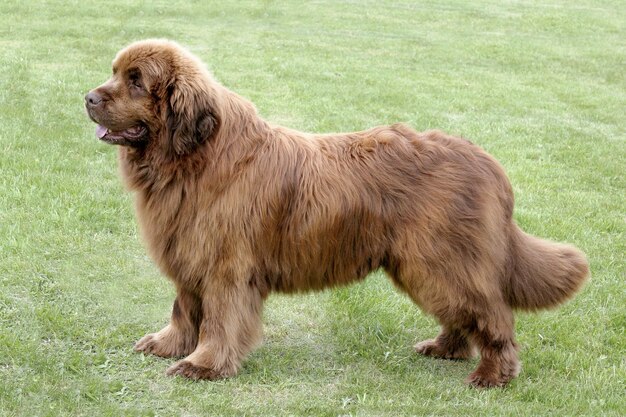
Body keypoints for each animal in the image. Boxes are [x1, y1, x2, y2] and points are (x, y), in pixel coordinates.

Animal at [85, 39, 588, 386]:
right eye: (115, 73)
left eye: (136, 80)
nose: (88, 97)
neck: (194, 159)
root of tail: (489, 164)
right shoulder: (190, 256)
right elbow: (184, 310)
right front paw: (168, 346)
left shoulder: (226, 266)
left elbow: (220, 319)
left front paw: (204, 365)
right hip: (430, 265)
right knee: (465, 313)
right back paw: (445, 348)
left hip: (440, 260)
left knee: (492, 313)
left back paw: (493, 374)